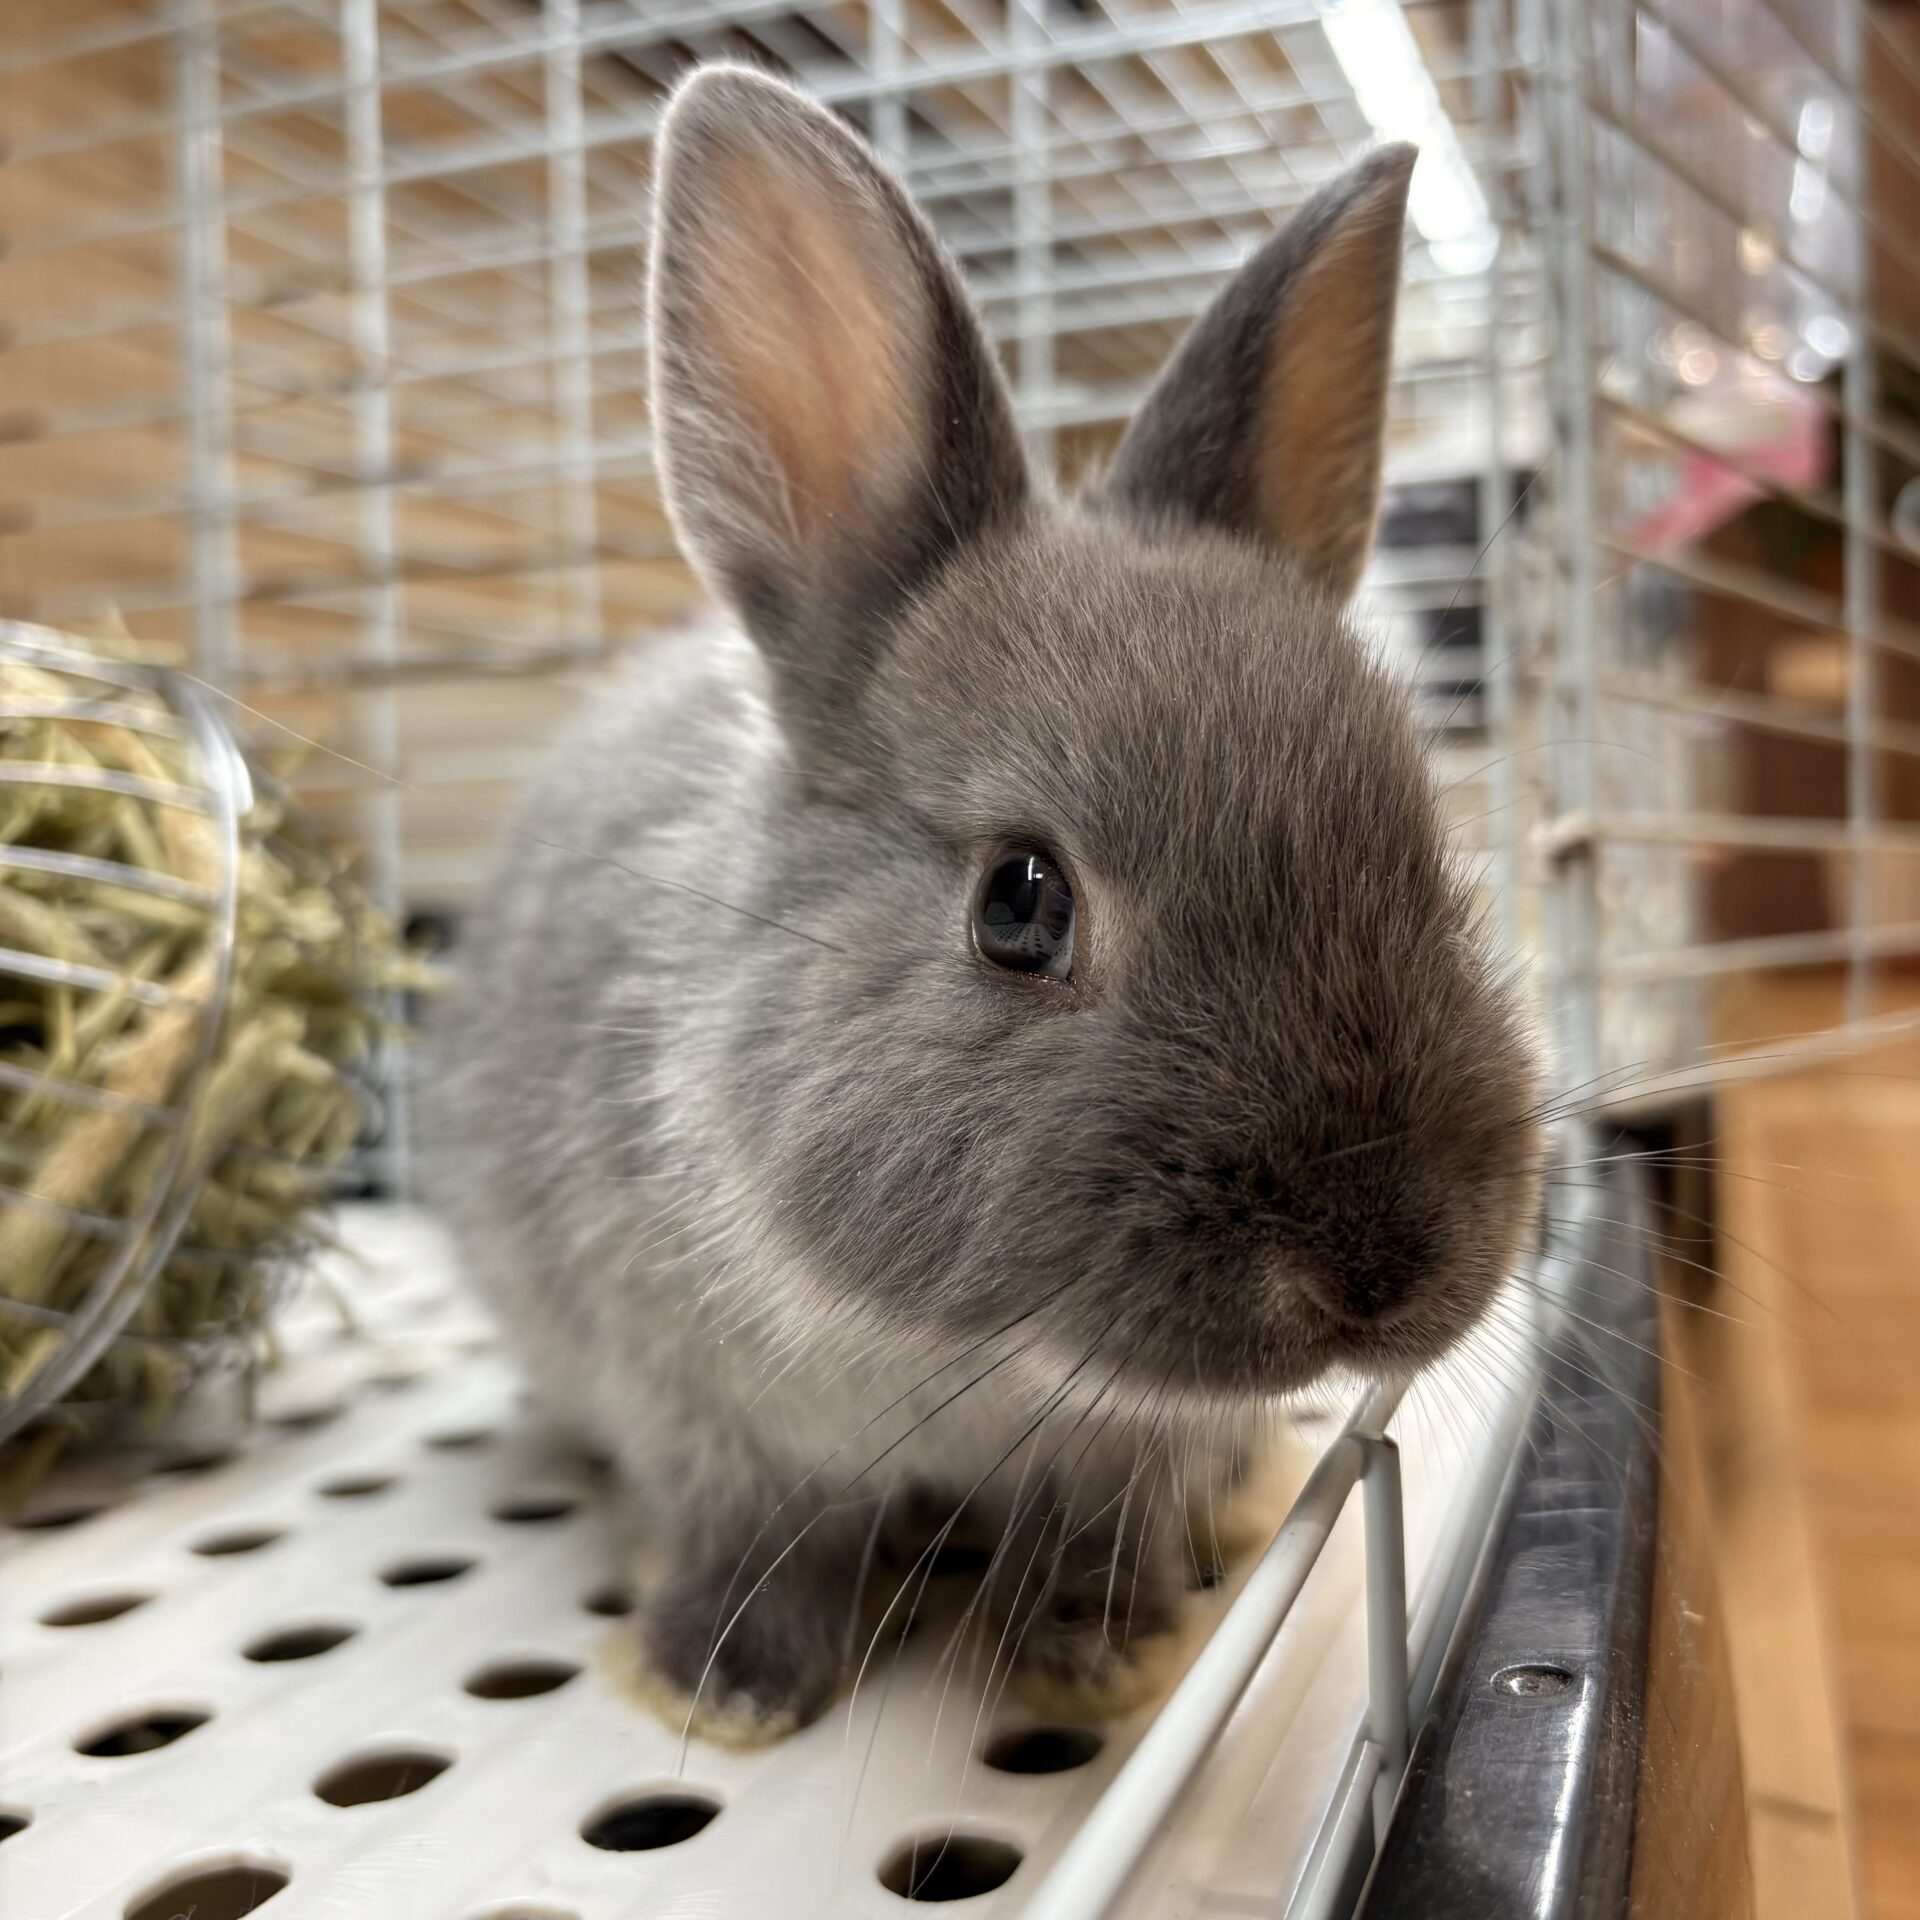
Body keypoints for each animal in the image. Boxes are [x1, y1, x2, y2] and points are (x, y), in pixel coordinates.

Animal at [420, 63, 1545, 1743]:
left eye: (1425, 853)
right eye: (1020, 905)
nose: (1377, 1270)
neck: (977, 1361)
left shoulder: (1117, 1448)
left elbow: (1100, 1516)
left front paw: (1093, 1644)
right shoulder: (691, 1407)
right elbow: (753, 1531)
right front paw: (726, 1681)